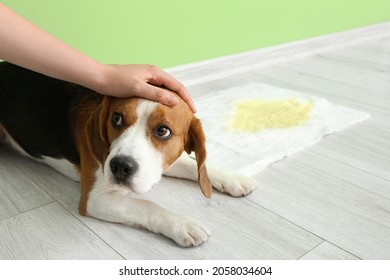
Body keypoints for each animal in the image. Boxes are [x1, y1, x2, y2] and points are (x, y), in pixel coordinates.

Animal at [0, 61, 256, 247]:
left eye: (163, 131)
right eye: (116, 118)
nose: (120, 166)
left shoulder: (159, 164)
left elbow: (194, 164)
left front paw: (232, 178)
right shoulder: (94, 199)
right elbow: (148, 206)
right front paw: (182, 224)